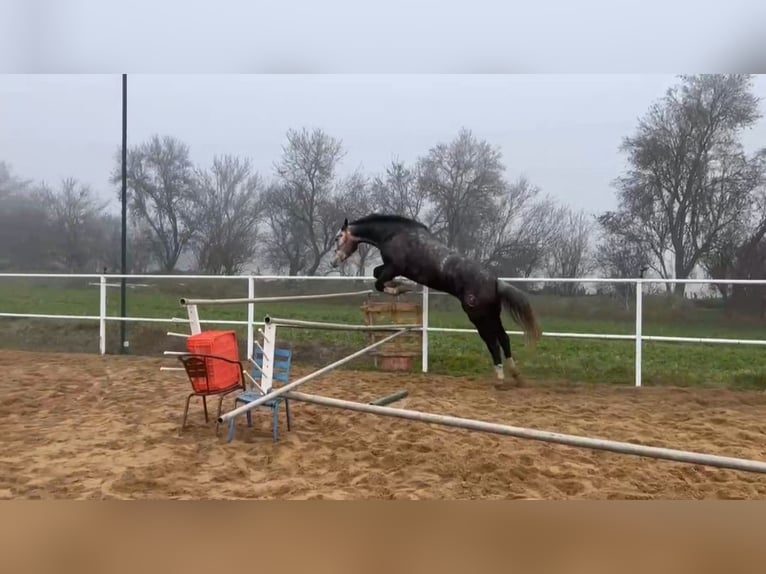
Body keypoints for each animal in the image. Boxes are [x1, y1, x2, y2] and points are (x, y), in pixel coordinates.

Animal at [332, 214, 544, 390]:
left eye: (338, 237)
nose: (334, 262)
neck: (395, 235)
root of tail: (494, 282)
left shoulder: (394, 267)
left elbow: (378, 281)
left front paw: (401, 288)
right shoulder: (389, 268)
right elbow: (377, 274)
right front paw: (401, 286)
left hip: (478, 316)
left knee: (492, 342)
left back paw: (500, 380)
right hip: (492, 314)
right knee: (503, 338)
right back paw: (516, 376)